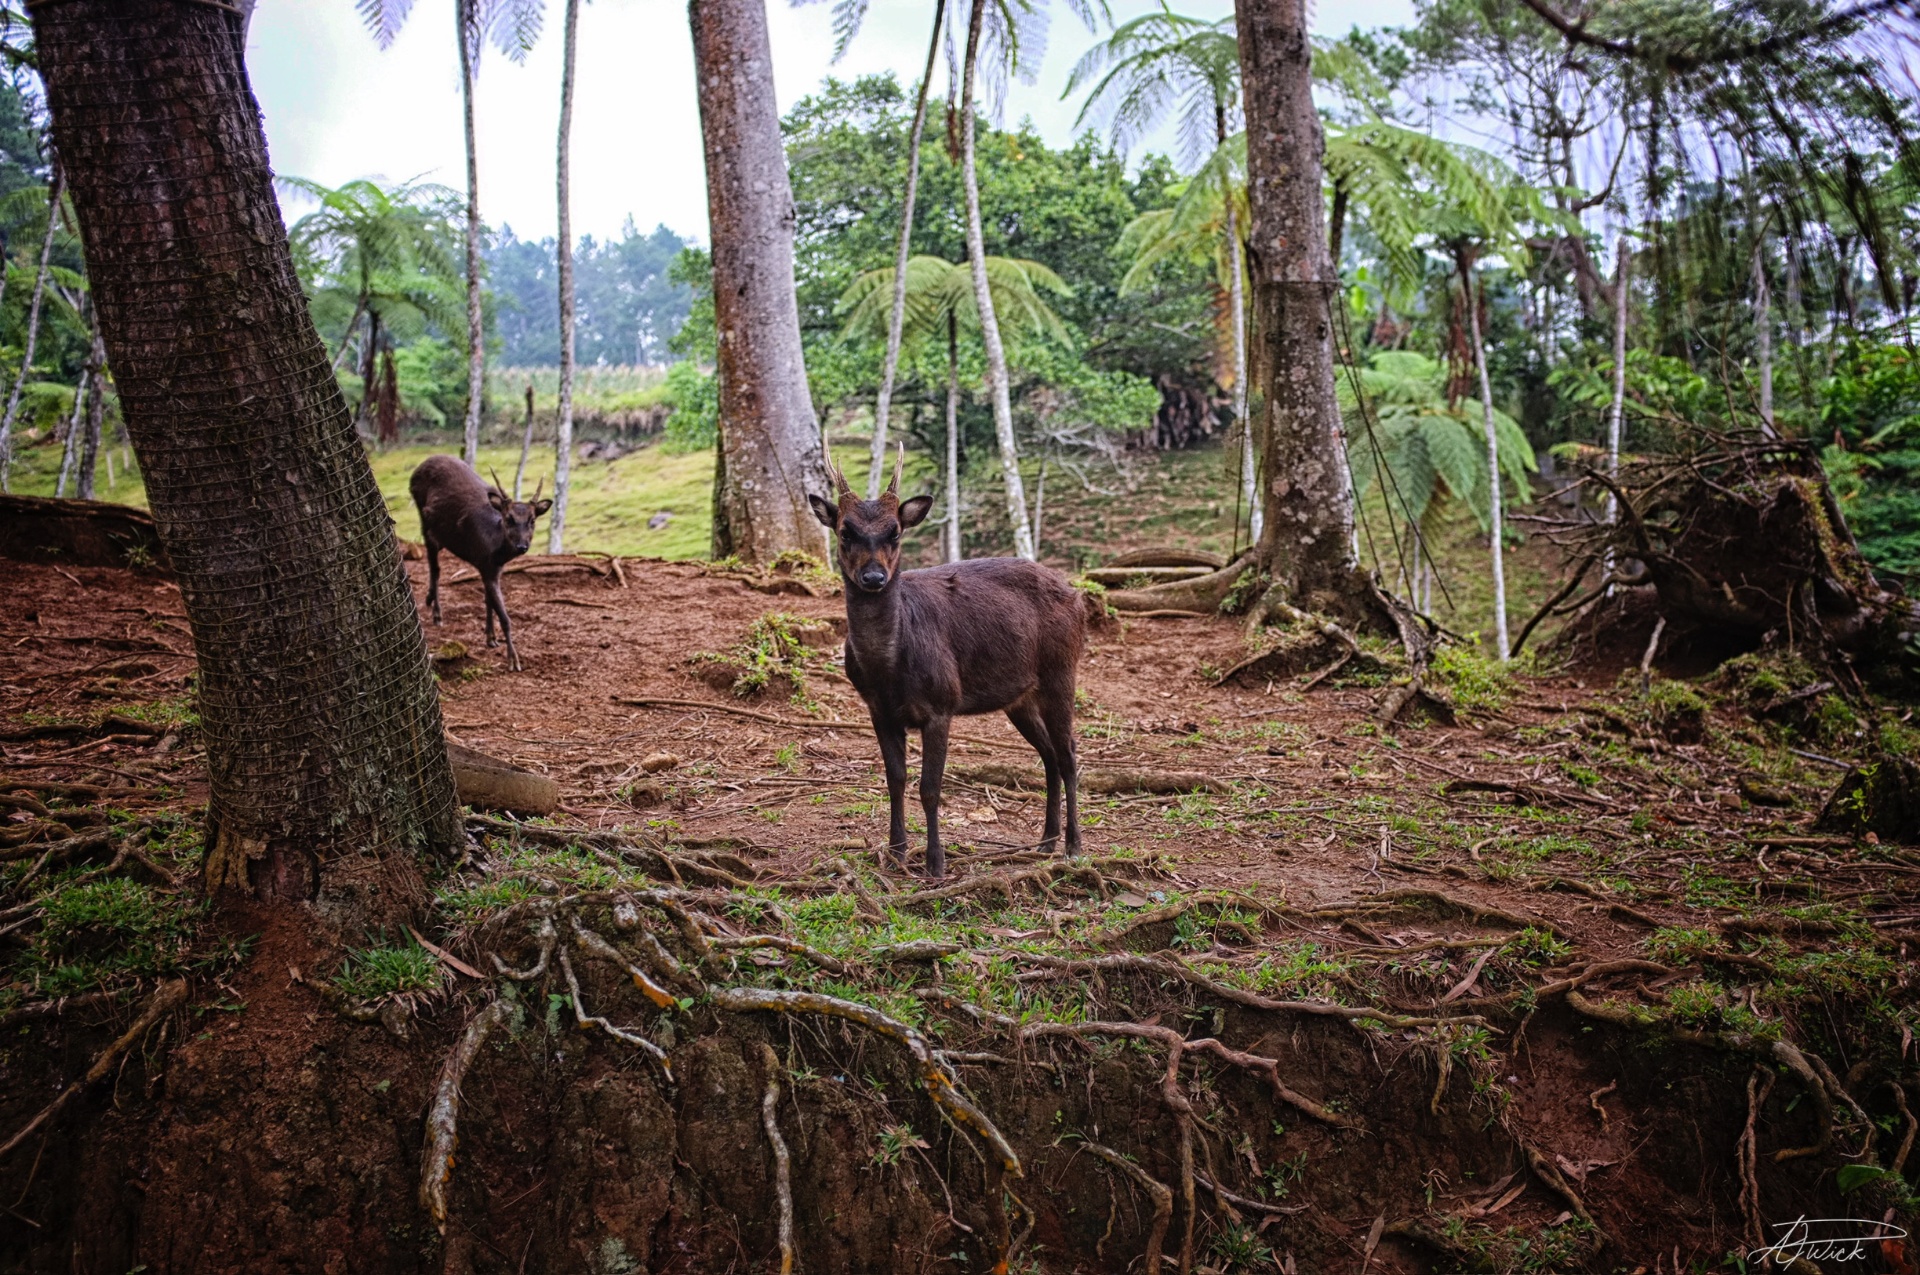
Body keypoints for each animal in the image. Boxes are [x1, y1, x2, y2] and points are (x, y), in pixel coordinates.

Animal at [409, 454, 551, 672]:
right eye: (508, 518)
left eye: (532, 520)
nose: (522, 546)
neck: (495, 549)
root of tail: (420, 465)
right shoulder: (486, 564)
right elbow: (505, 617)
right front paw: (513, 660)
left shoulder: (492, 569)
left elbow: (488, 601)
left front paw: (491, 638)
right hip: (425, 521)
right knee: (435, 567)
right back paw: (436, 613)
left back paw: (429, 600)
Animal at [810, 449, 1086, 879]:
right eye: (845, 531)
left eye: (895, 532)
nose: (873, 577)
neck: (887, 671)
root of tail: (1078, 597)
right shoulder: (878, 711)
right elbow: (895, 779)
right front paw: (897, 852)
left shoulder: (941, 704)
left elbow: (930, 788)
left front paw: (935, 863)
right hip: (1019, 697)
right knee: (1049, 757)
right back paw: (1044, 842)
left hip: (1062, 669)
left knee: (1070, 754)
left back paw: (1073, 846)